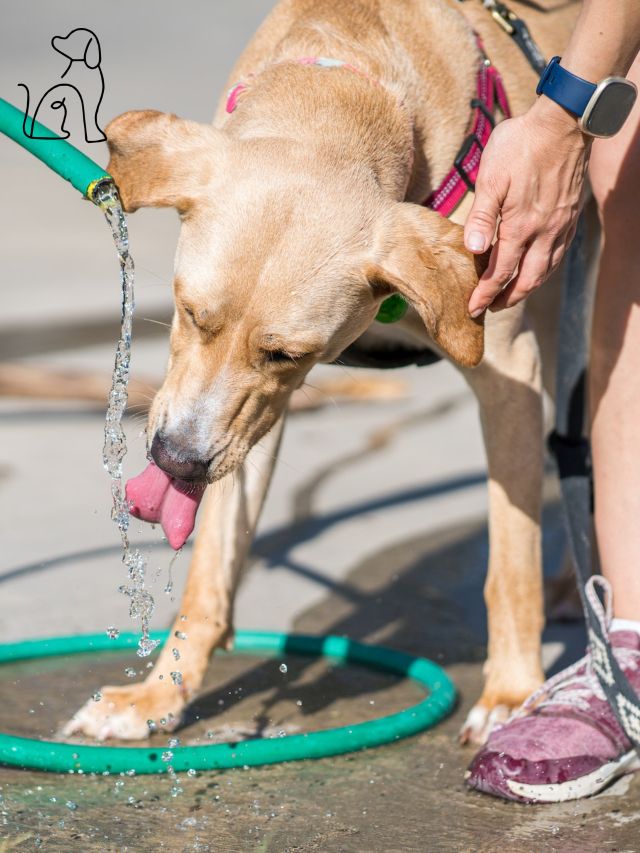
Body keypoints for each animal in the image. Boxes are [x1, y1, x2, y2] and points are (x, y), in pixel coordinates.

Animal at [62, 0, 584, 744]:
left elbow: (510, 561)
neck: (346, 78)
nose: (175, 461)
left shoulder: (508, 372)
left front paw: (513, 692)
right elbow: (211, 569)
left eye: (287, 354)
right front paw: (161, 692)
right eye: (190, 313)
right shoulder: (241, 423)